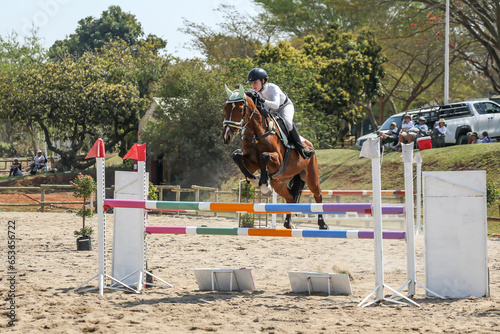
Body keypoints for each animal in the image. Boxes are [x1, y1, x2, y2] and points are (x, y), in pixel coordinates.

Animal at [223, 85, 328, 230]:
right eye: (225, 109)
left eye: (240, 109)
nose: (226, 137)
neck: (256, 134)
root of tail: (309, 144)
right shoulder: (251, 162)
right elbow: (237, 157)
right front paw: (256, 180)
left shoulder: (278, 161)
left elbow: (264, 156)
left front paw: (263, 183)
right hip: (279, 182)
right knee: (290, 197)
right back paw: (288, 223)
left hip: (311, 176)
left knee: (318, 195)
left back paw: (323, 224)